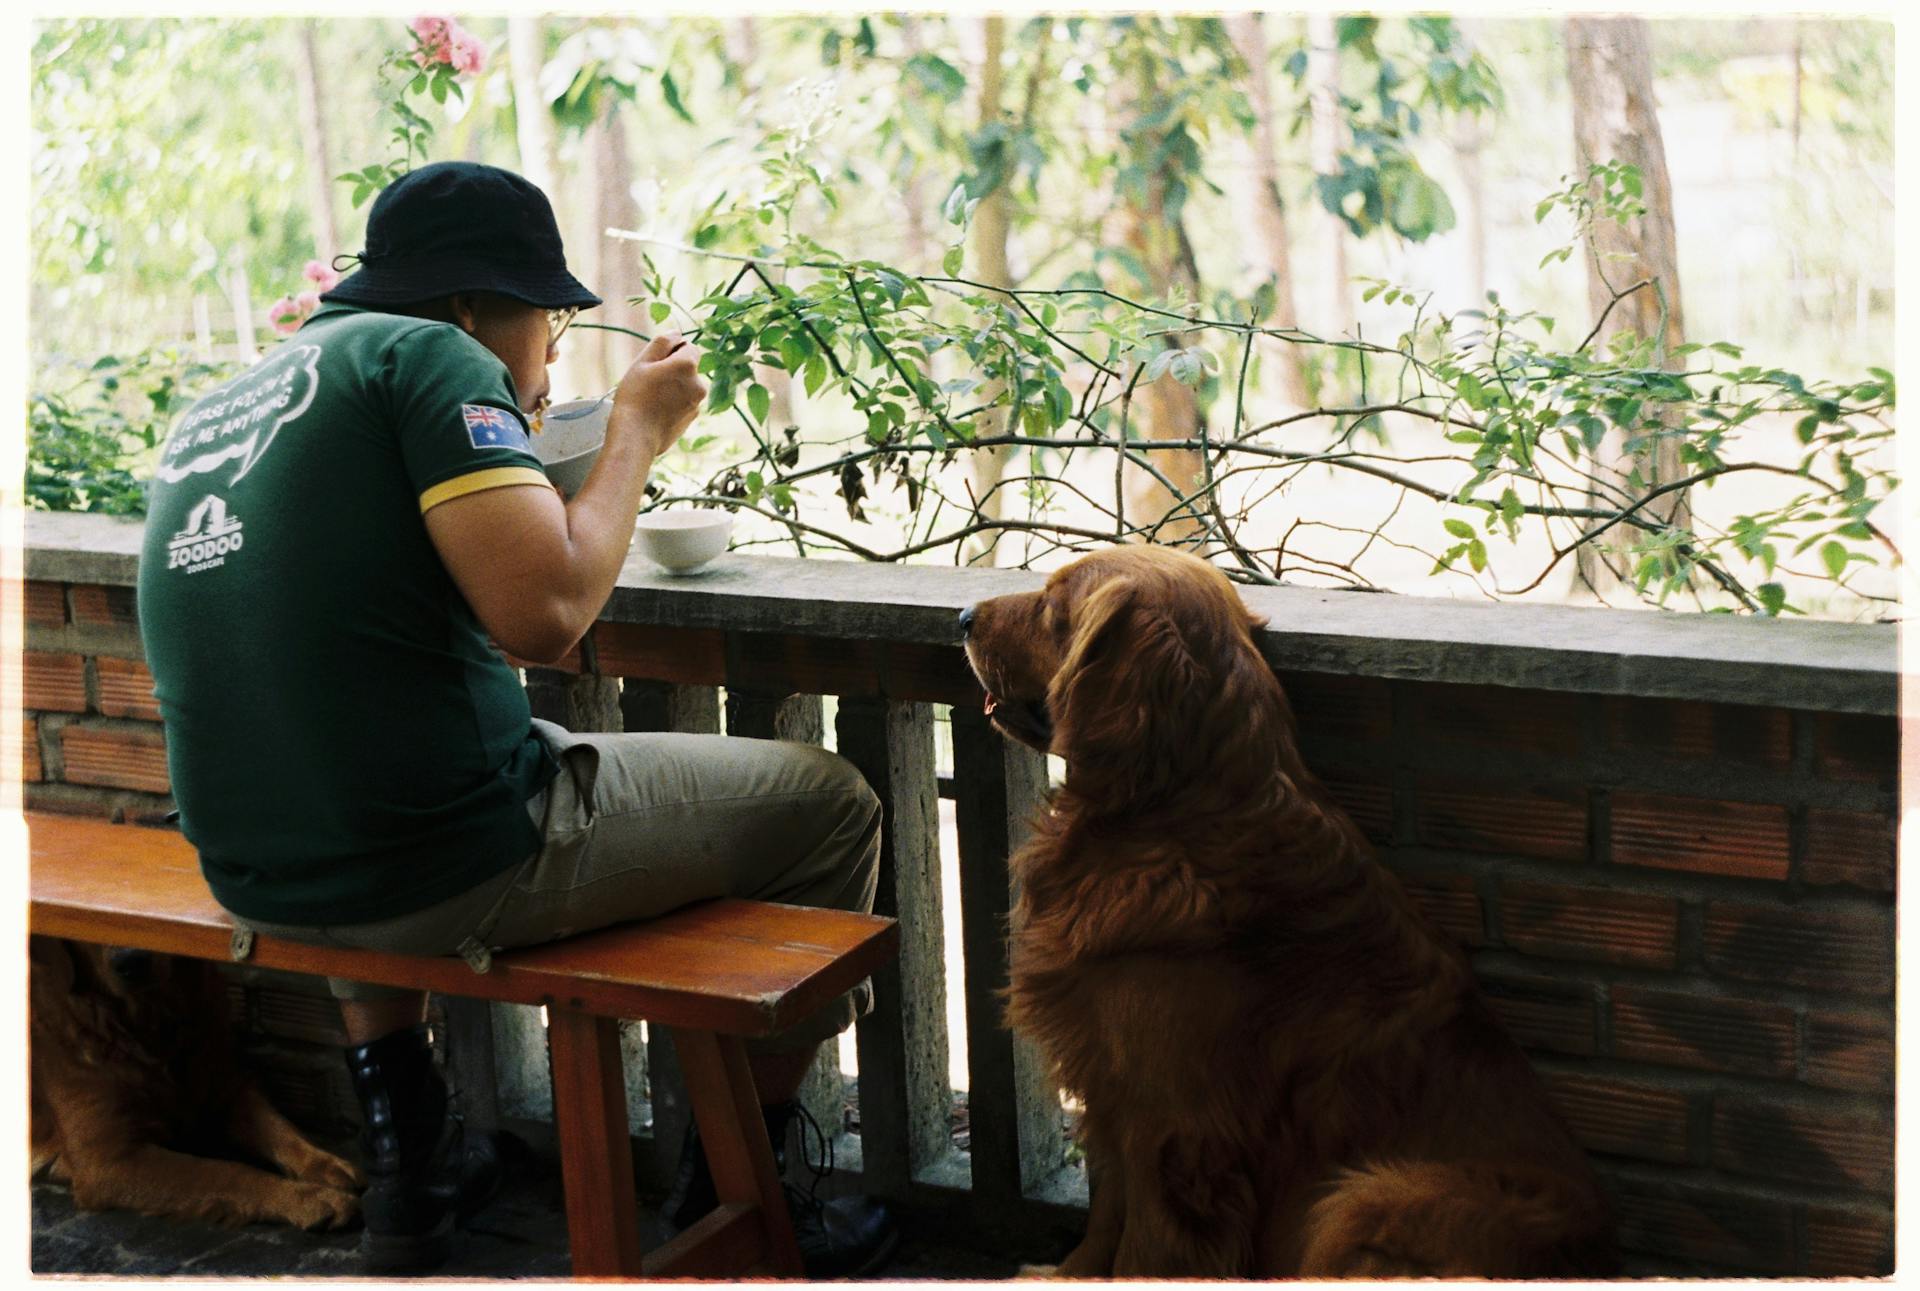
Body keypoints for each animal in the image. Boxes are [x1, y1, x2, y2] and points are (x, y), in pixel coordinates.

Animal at [30, 937, 362, 1229]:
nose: (131, 961)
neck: (149, 1030)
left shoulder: (226, 1089)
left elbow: (281, 1127)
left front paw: (324, 1164)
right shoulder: (107, 1160)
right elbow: (223, 1171)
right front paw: (306, 1198)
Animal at [960, 545, 1620, 1283]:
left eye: (1053, 604)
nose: (963, 617)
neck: (1169, 812)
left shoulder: (1172, 1128)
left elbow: (1144, 1246)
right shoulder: (1111, 1090)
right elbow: (1104, 1221)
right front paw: (1068, 1274)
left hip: (1365, 1198)